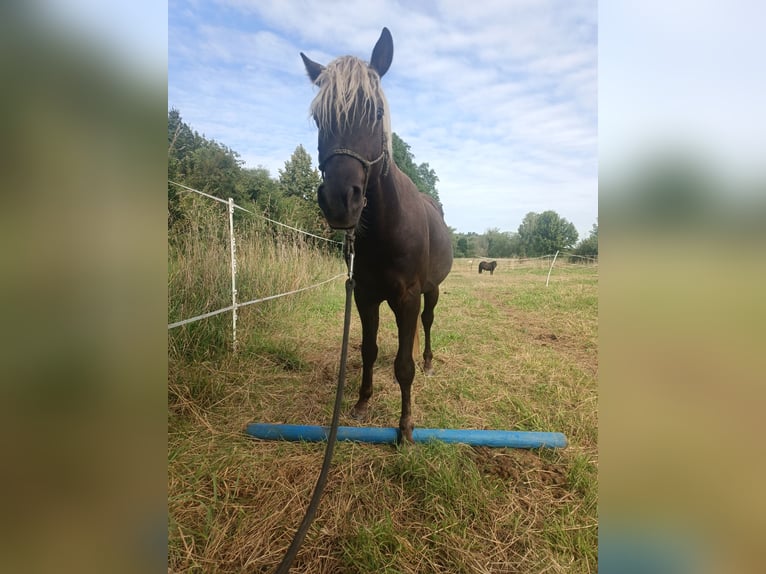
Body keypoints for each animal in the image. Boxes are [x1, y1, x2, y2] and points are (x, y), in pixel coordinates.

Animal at [302, 28, 456, 446]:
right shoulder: (365, 296)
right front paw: (361, 402)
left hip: (431, 290)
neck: (388, 229)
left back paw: (429, 361)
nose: (340, 200)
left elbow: (404, 366)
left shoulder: (408, 297)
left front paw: (405, 427)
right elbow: (368, 350)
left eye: (375, 112)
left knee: (427, 323)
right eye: (318, 118)